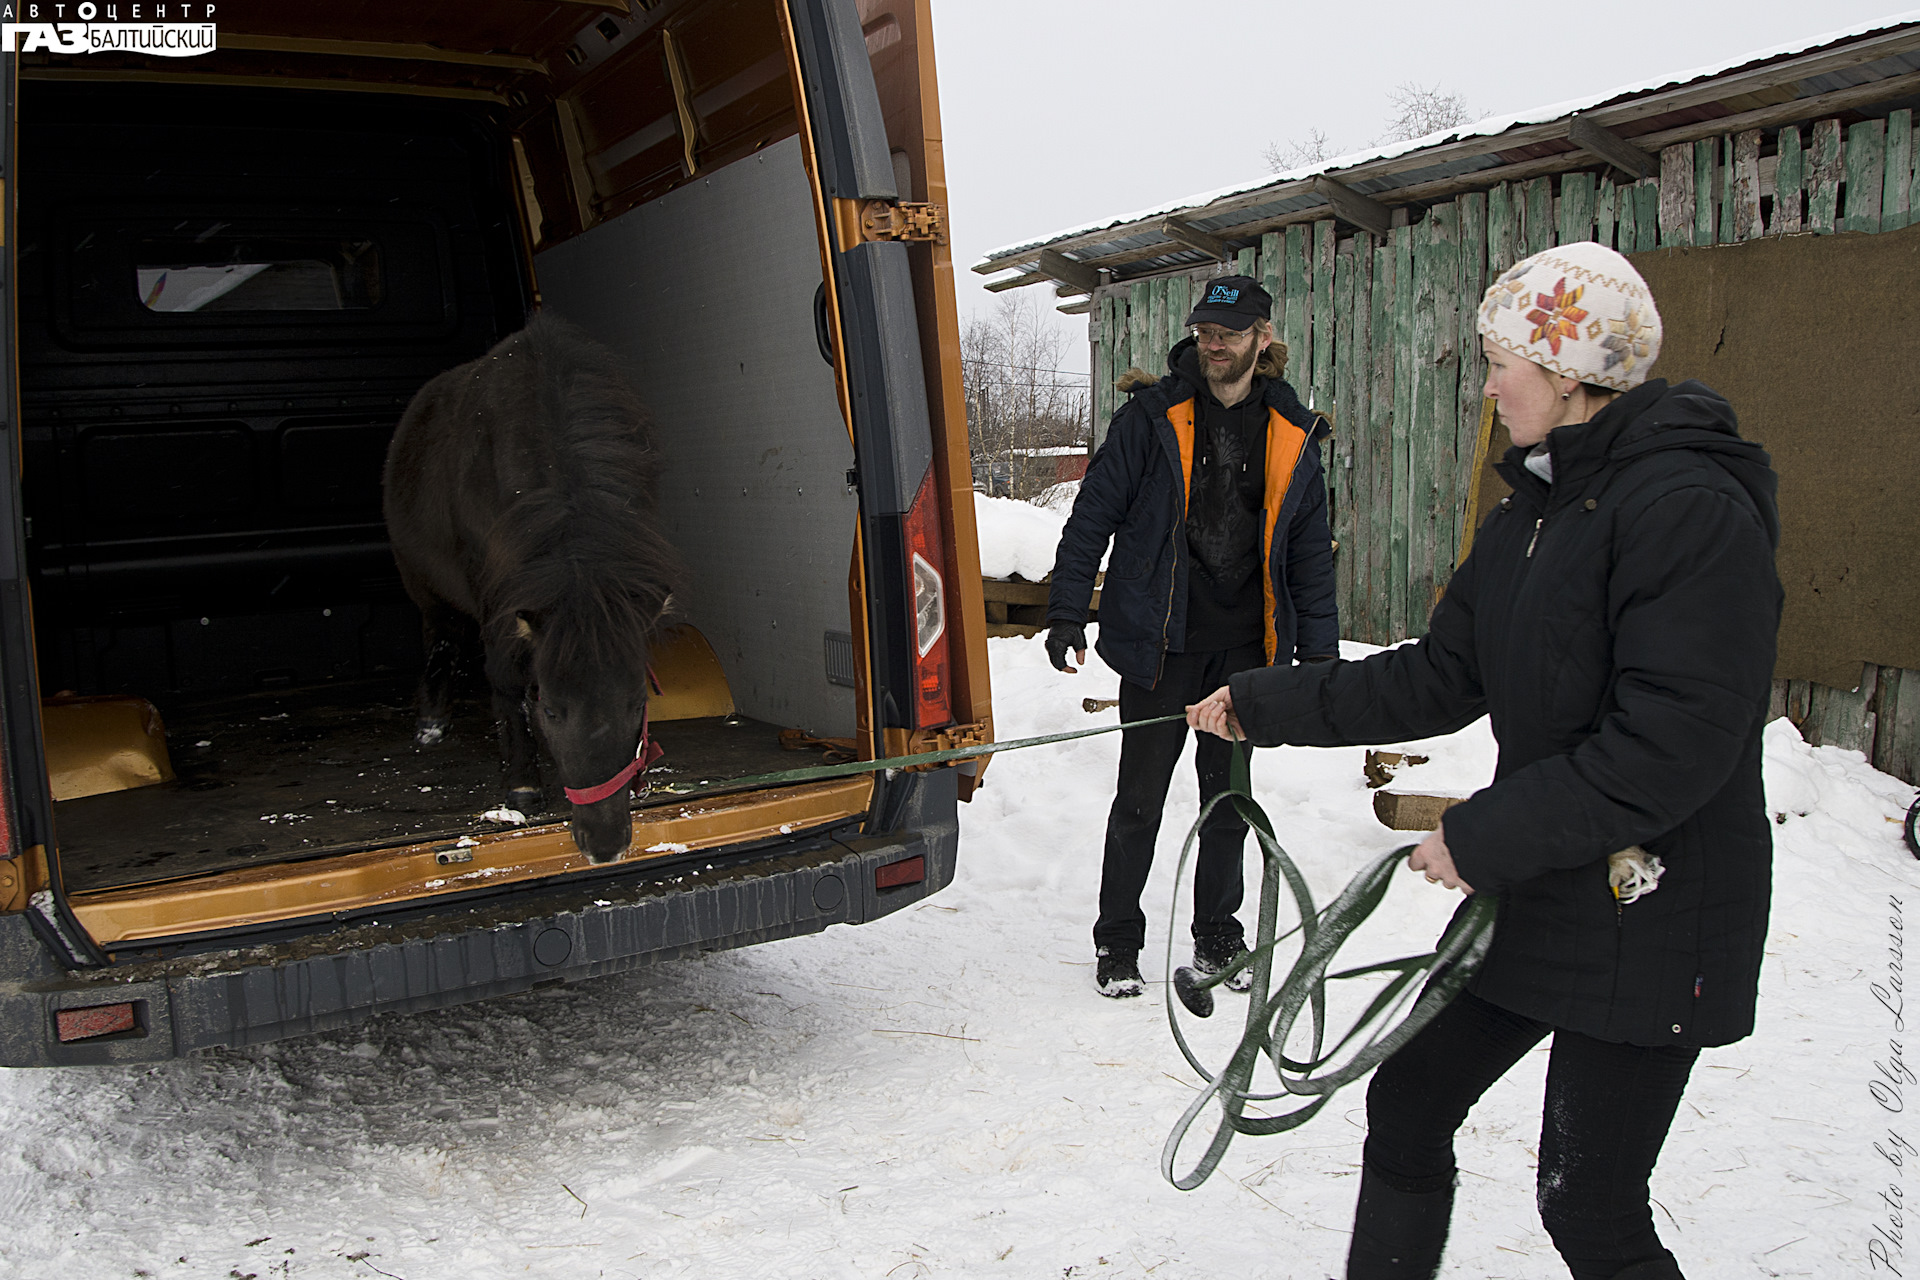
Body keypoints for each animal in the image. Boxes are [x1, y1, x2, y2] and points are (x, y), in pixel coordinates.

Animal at [380, 314, 675, 867]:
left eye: (636, 703)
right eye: (550, 708)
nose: (605, 845)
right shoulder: (496, 597)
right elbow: (503, 679)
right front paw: (520, 785)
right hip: (423, 585)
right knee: (441, 636)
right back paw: (432, 722)